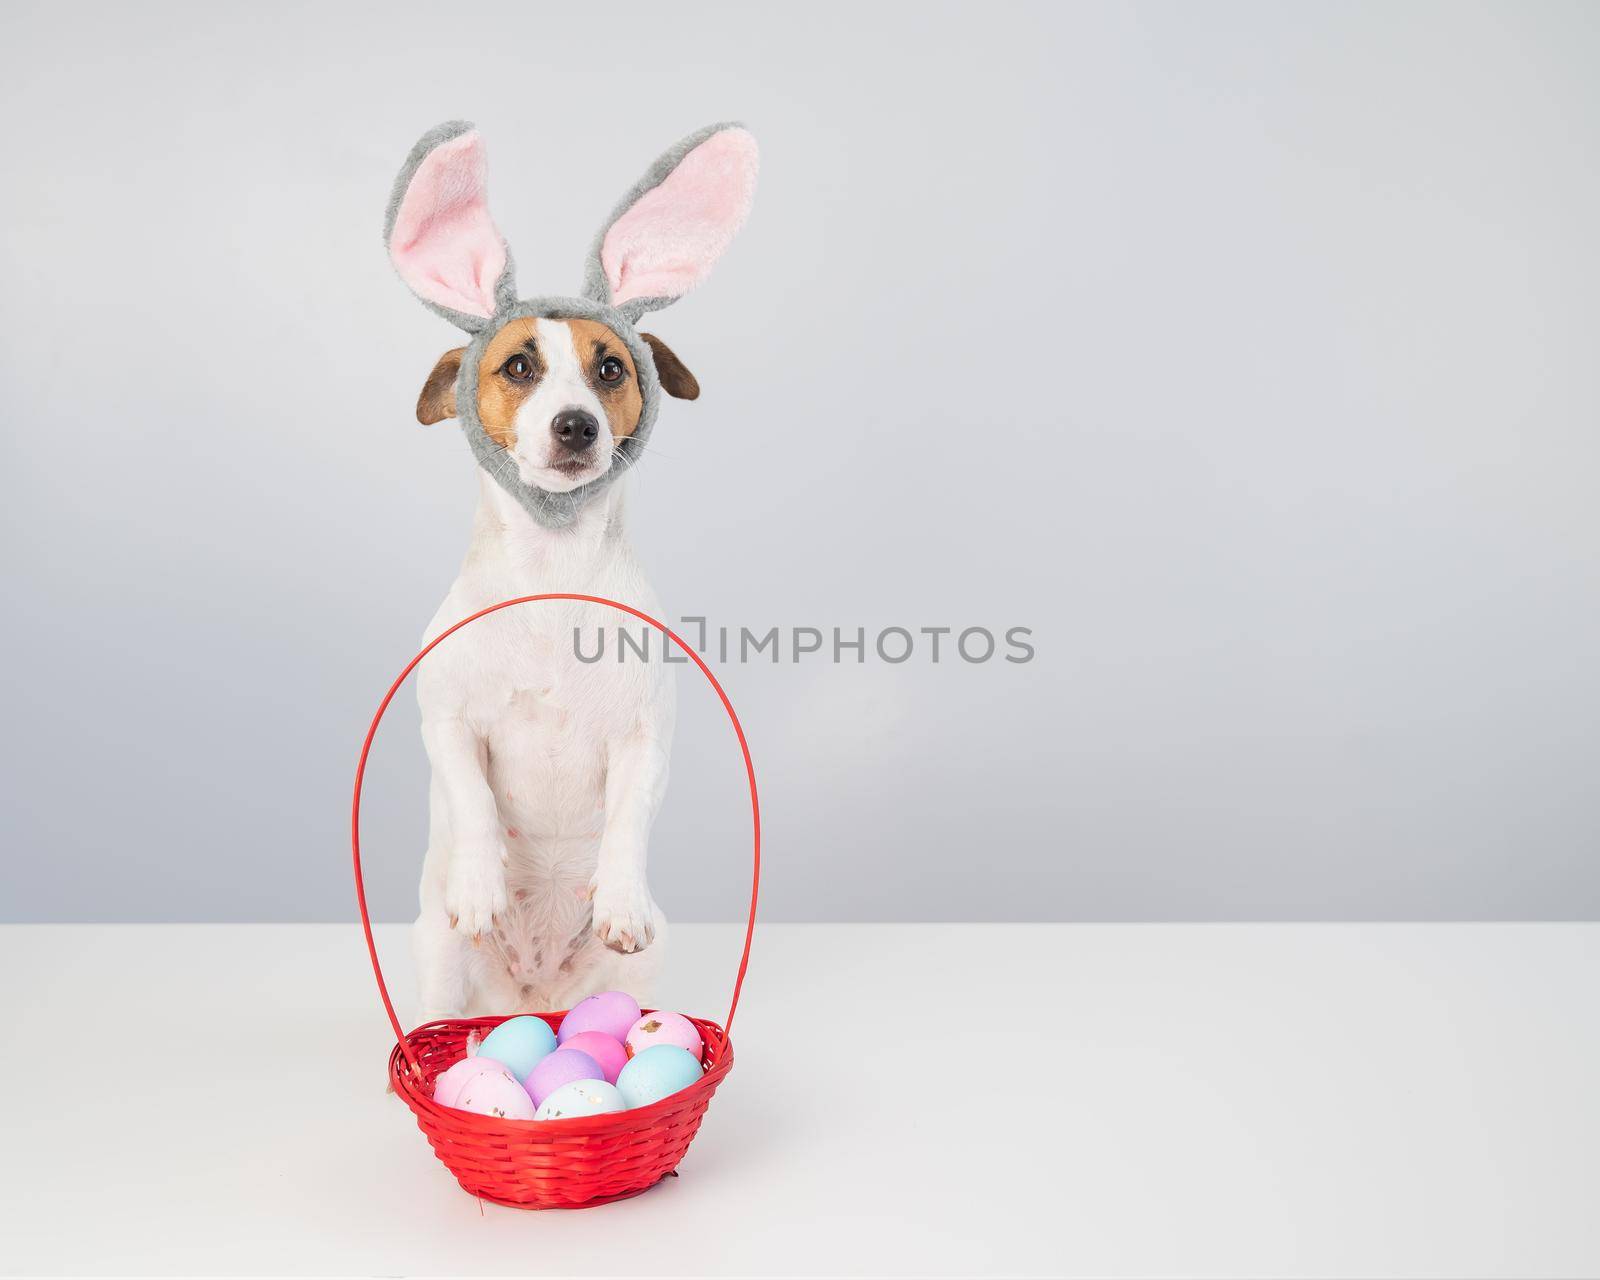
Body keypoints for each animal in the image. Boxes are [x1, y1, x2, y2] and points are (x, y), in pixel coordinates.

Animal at [387, 120, 761, 1017]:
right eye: (518, 367)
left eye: (611, 368)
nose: (577, 425)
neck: (552, 570)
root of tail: (530, 1000)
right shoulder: (447, 720)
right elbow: (474, 800)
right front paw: (481, 885)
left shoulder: (645, 736)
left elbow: (628, 820)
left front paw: (621, 898)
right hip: (437, 961)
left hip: (638, 977)